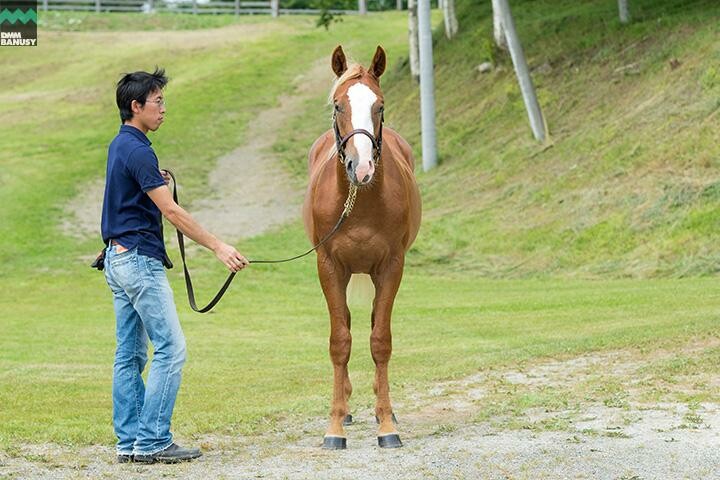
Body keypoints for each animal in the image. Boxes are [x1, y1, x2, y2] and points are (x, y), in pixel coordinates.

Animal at [302, 45, 422, 449]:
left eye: (379, 106)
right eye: (339, 105)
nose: (363, 166)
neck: (360, 202)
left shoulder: (391, 267)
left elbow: (380, 341)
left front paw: (387, 424)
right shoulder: (328, 267)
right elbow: (340, 342)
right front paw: (334, 426)